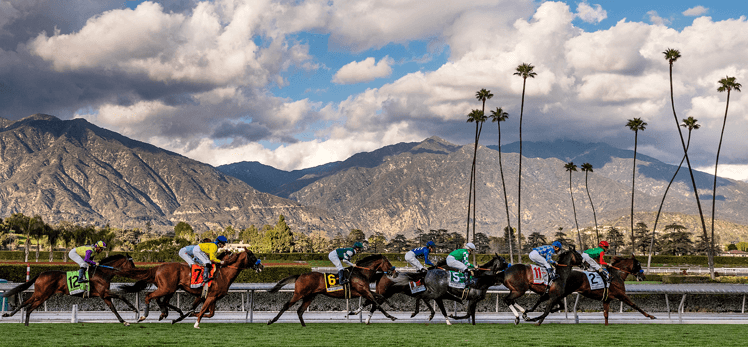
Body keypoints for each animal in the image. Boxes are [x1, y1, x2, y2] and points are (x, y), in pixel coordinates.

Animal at [1, 256, 140, 326]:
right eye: (132, 263)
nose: (137, 271)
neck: (102, 272)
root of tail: (41, 274)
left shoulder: (104, 295)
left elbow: (113, 308)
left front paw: (124, 321)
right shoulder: (103, 292)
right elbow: (121, 296)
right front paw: (135, 309)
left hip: (42, 294)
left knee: (26, 305)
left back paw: (18, 320)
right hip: (42, 294)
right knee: (28, 306)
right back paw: (20, 321)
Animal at [120, 247, 262, 328]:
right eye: (252, 256)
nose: (261, 266)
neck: (223, 274)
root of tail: (158, 267)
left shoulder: (211, 297)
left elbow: (209, 313)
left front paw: (188, 314)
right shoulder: (210, 296)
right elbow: (204, 311)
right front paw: (196, 323)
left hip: (170, 289)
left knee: (162, 300)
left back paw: (165, 313)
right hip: (166, 288)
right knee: (149, 296)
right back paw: (143, 316)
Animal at [268, 254, 398, 328]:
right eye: (389, 263)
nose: (395, 273)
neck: (360, 272)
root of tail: (300, 275)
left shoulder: (365, 291)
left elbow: (380, 297)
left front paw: (393, 306)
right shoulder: (364, 291)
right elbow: (377, 303)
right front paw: (391, 316)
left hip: (310, 296)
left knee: (300, 310)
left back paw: (304, 326)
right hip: (299, 294)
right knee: (286, 305)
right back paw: (271, 321)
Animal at [524, 256, 656, 326]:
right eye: (638, 265)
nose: (643, 277)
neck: (616, 276)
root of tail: (557, 274)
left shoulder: (607, 299)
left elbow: (606, 315)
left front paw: (606, 326)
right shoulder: (622, 295)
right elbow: (635, 305)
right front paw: (650, 316)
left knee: (548, 301)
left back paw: (532, 316)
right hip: (560, 292)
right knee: (547, 301)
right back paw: (534, 317)